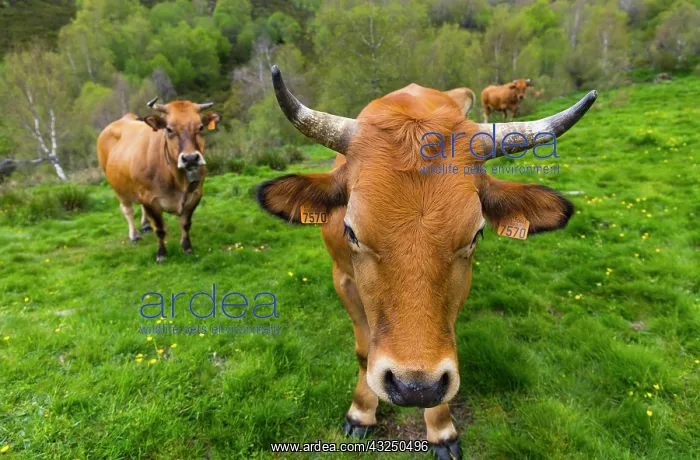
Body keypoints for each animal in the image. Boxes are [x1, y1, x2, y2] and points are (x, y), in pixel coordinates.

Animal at [97, 98, 221, 263]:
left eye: (200, 127)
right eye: (169, 129)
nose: (190, 158)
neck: (176, 179)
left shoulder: (195, 195)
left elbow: (185, 223)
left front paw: (187, 247)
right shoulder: (150, 199)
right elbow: (160, 229)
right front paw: (161, 254)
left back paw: (145, 225)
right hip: (118, 188)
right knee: (127, 210)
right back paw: (134, 235)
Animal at [256, 66, 596, 459]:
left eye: (476, 235)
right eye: (351, 231)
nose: (413, 387)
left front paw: (441, 428)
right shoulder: (342, 278)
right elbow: (363, 351)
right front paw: (361, 412)